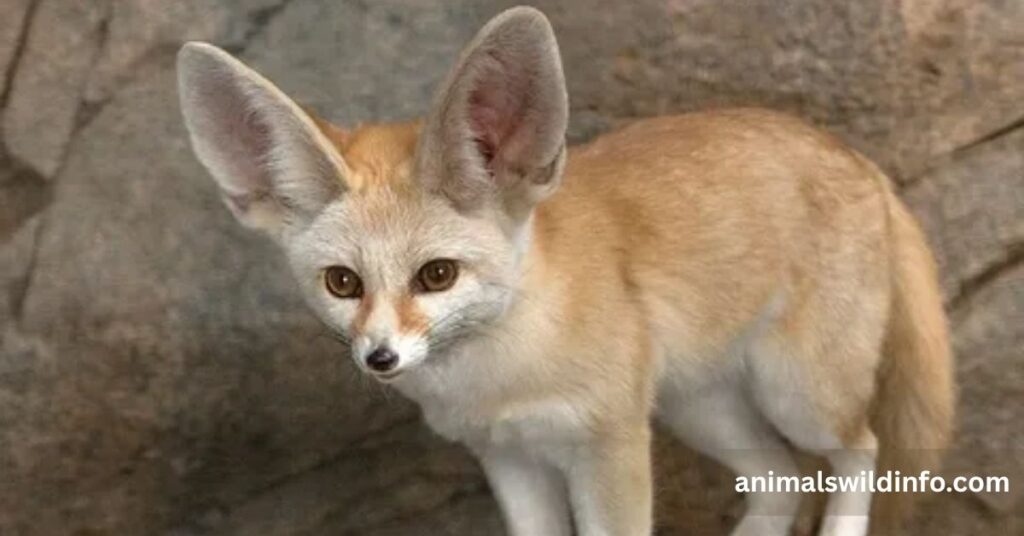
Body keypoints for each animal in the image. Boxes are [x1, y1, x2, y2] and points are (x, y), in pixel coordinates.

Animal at [176, 6, 954, 536]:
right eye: (344, 283)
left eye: (436, 275)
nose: (381, 358)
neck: (501, 377)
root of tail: (857, 159)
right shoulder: (509, 461)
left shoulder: (609, 447)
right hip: (701, 408)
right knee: (782, 480)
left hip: (799, 395)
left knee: (859, 451)